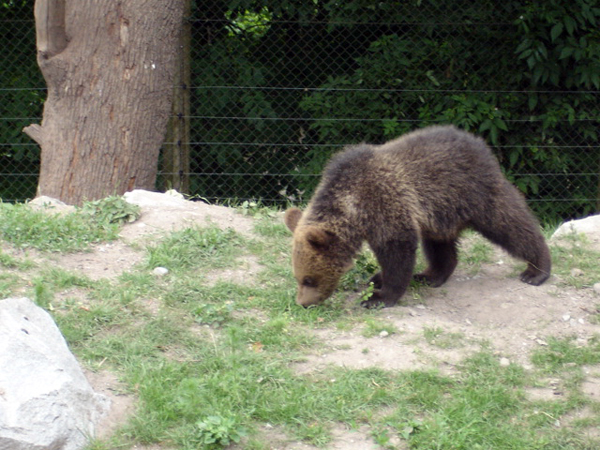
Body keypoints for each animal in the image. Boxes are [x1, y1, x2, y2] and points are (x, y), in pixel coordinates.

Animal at [286, 125, 552, 308]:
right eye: (298, 277)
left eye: (308, 279)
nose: (303, 303)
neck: (353, 208)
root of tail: (478, 143)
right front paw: (377, 279)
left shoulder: (385, 205)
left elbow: (397, 252)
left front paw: (378, 296)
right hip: (441, 213)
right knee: (439, 246)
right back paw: (429, 275)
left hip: (476, 194)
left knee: (511, 224)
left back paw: (536, 270)